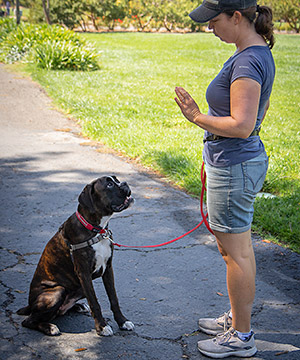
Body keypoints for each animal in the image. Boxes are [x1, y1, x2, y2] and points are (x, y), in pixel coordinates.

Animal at [16, 176, 134, 336]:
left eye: (117, 179)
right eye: (109, 184)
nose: (125, 183)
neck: (96, 229)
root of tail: (29, 304)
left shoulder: (108, 269)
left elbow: (114, 299)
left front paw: (122, 321)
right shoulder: (84, 273)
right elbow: (95, 302)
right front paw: (102, 327)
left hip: (79, 287)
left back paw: (78, 306)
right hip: (57, 292)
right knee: (28, 320)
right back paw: (50, 327)